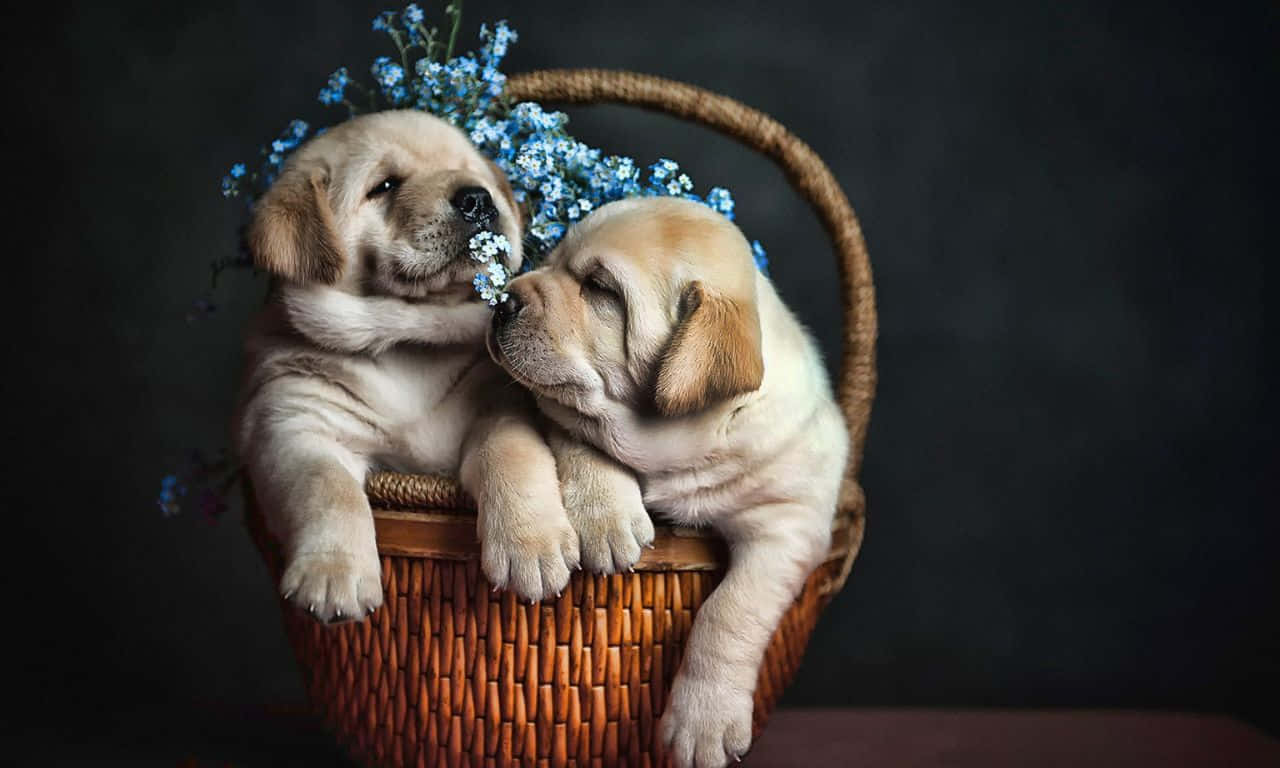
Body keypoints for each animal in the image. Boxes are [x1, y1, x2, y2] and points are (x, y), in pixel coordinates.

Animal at [236, 110, 655, 622]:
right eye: (385, 185)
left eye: (471, 172)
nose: (477, 198)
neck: (408, 339)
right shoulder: (292, 422)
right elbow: (326, 487)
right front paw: (333, 574)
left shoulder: (498, 406)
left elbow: (509, 454)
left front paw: (531, 545)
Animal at [483, 197, 844, 768]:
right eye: (552, 258)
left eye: (601, 289)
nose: (500, 301)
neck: (676, 447)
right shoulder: (559, 410)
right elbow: (586, 442)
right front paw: (607, 523)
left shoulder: (788, 523)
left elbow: (731, 610)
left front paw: (703, 723)